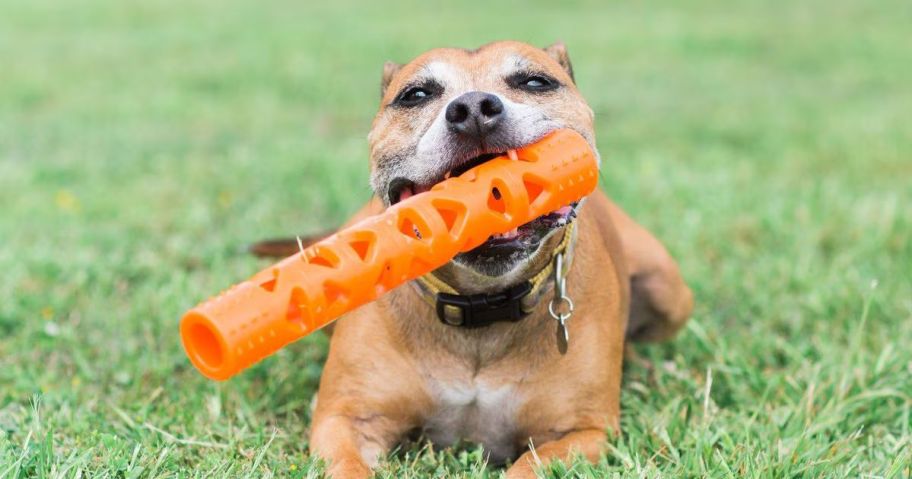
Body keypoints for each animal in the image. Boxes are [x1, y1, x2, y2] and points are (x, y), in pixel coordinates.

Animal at [251, 41, 692, 479]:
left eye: (535, 82)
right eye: (416, 94)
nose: (474, 107)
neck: (483, 306)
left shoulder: (583, 433)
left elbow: (527, 468)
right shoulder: (345, 420)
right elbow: (348, 465)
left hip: (669, 291)